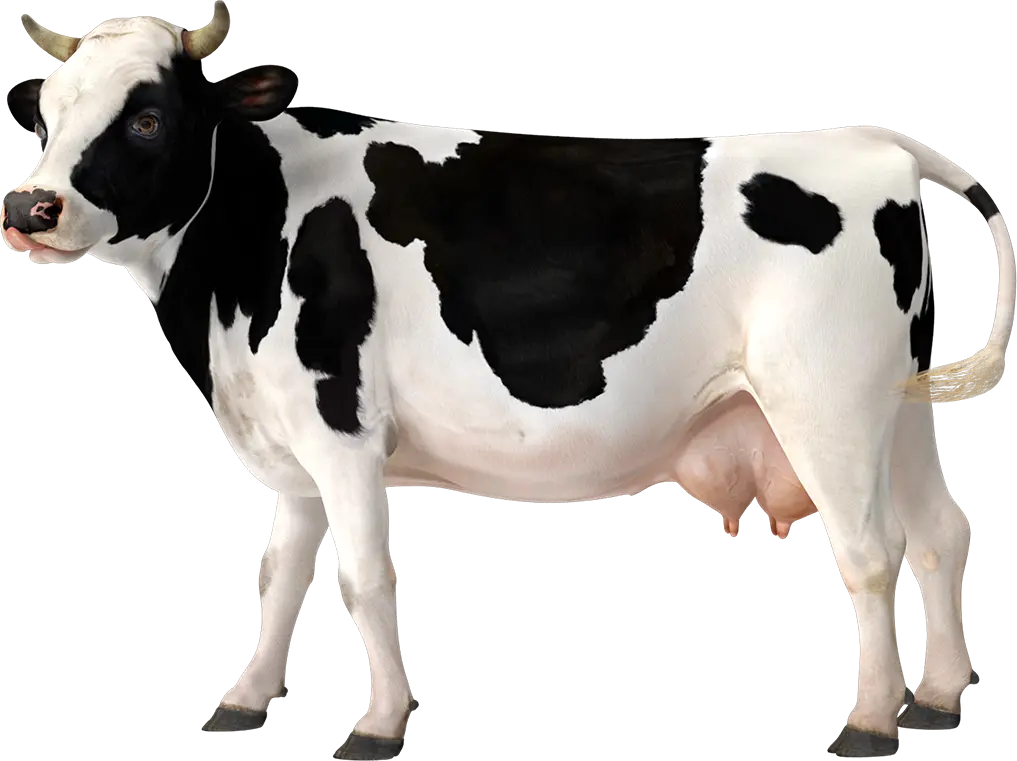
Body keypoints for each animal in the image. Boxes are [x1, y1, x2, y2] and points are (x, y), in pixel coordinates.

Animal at [3, 5, 1014, 760]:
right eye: (46, 114)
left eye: (146, 117)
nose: (28, 206)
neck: (236, 268)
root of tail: (876, 143)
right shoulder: (288, 436)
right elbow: (280, 573)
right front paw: (247, 700)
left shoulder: (341, 430)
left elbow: (363, 576)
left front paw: (379, 720)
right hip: (896, 405)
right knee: (940, 533)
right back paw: (940, 697)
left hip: (823, 402)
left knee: (871, 551)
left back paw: (873, 718)